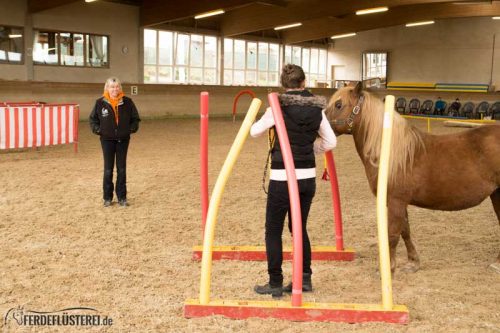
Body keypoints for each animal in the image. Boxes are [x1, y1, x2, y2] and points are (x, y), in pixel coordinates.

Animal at [324, 81, 500, 272]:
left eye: (338, 104)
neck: (393, 153)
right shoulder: (399, 202)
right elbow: (405, 230)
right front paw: (412, 262)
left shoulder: (396, 201)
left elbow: (393, 234)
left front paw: (390, 268)